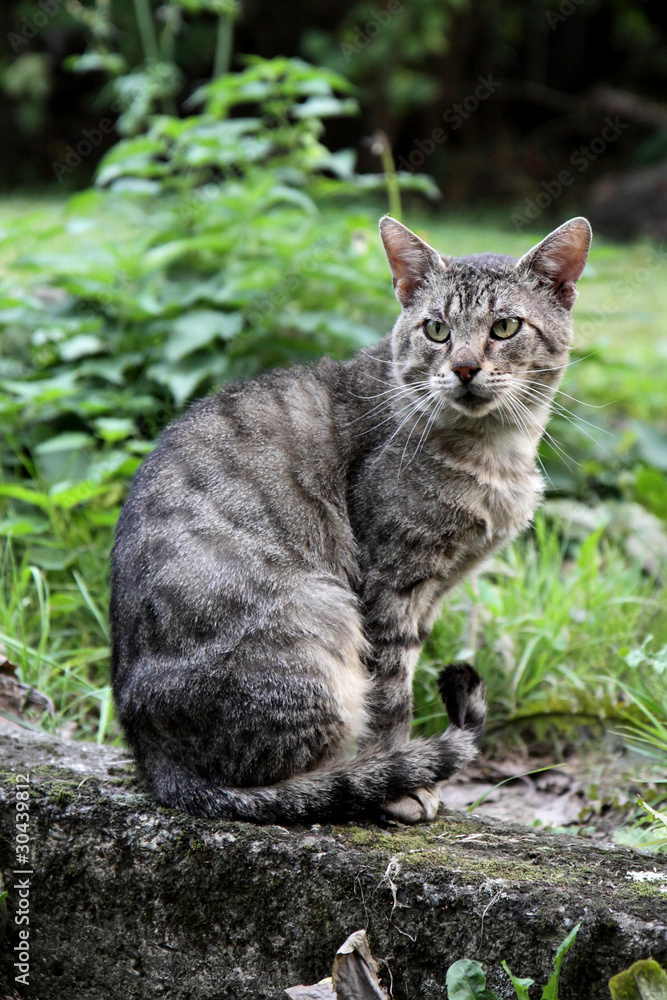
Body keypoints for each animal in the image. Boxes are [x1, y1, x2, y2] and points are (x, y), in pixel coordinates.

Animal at [111, 215, 596, 824]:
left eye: (505, 327)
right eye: (437, 329)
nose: (463, 367)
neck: (495, 451)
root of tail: (154, 761)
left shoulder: (431, 591)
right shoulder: (390, 583)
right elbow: (391, 695)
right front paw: (397, 781)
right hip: (321, 620)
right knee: (285, 780)